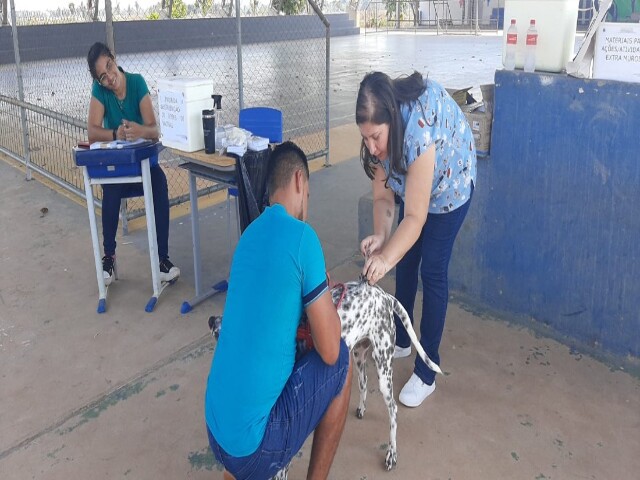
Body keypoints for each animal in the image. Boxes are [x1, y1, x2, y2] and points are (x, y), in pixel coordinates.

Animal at [210, 278, 440, 476]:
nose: (211, 321)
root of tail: (384, 295)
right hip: (357, 355)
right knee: (364, 383)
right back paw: (362, 408)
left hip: (383, 367)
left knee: (393, 410)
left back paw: (391, 453)